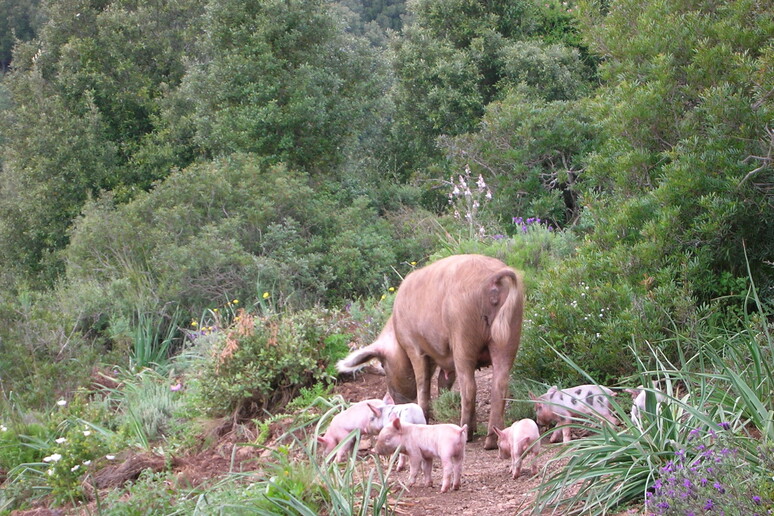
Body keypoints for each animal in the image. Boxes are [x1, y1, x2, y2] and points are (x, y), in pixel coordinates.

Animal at [336, 254, 524, 448]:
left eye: (383, 364)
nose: (396, 399)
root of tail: (494, 280)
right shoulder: (446, 357)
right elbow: (443, 381)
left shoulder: (413, 346)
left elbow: (423, 382)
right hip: (510, 334)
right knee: (500, 385)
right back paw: (490, 442)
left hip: (462, 334)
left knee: (469, 388)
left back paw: (467, 434)